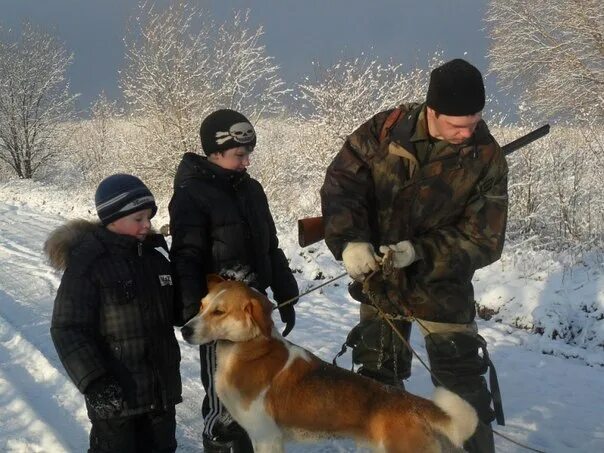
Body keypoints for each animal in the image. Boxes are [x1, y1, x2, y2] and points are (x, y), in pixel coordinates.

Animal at [179, 276, 476, 452]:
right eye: (202, 306)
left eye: (219, 312)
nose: (183, 330)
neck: (249, 349)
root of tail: (415, 404)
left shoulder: (266, 437)